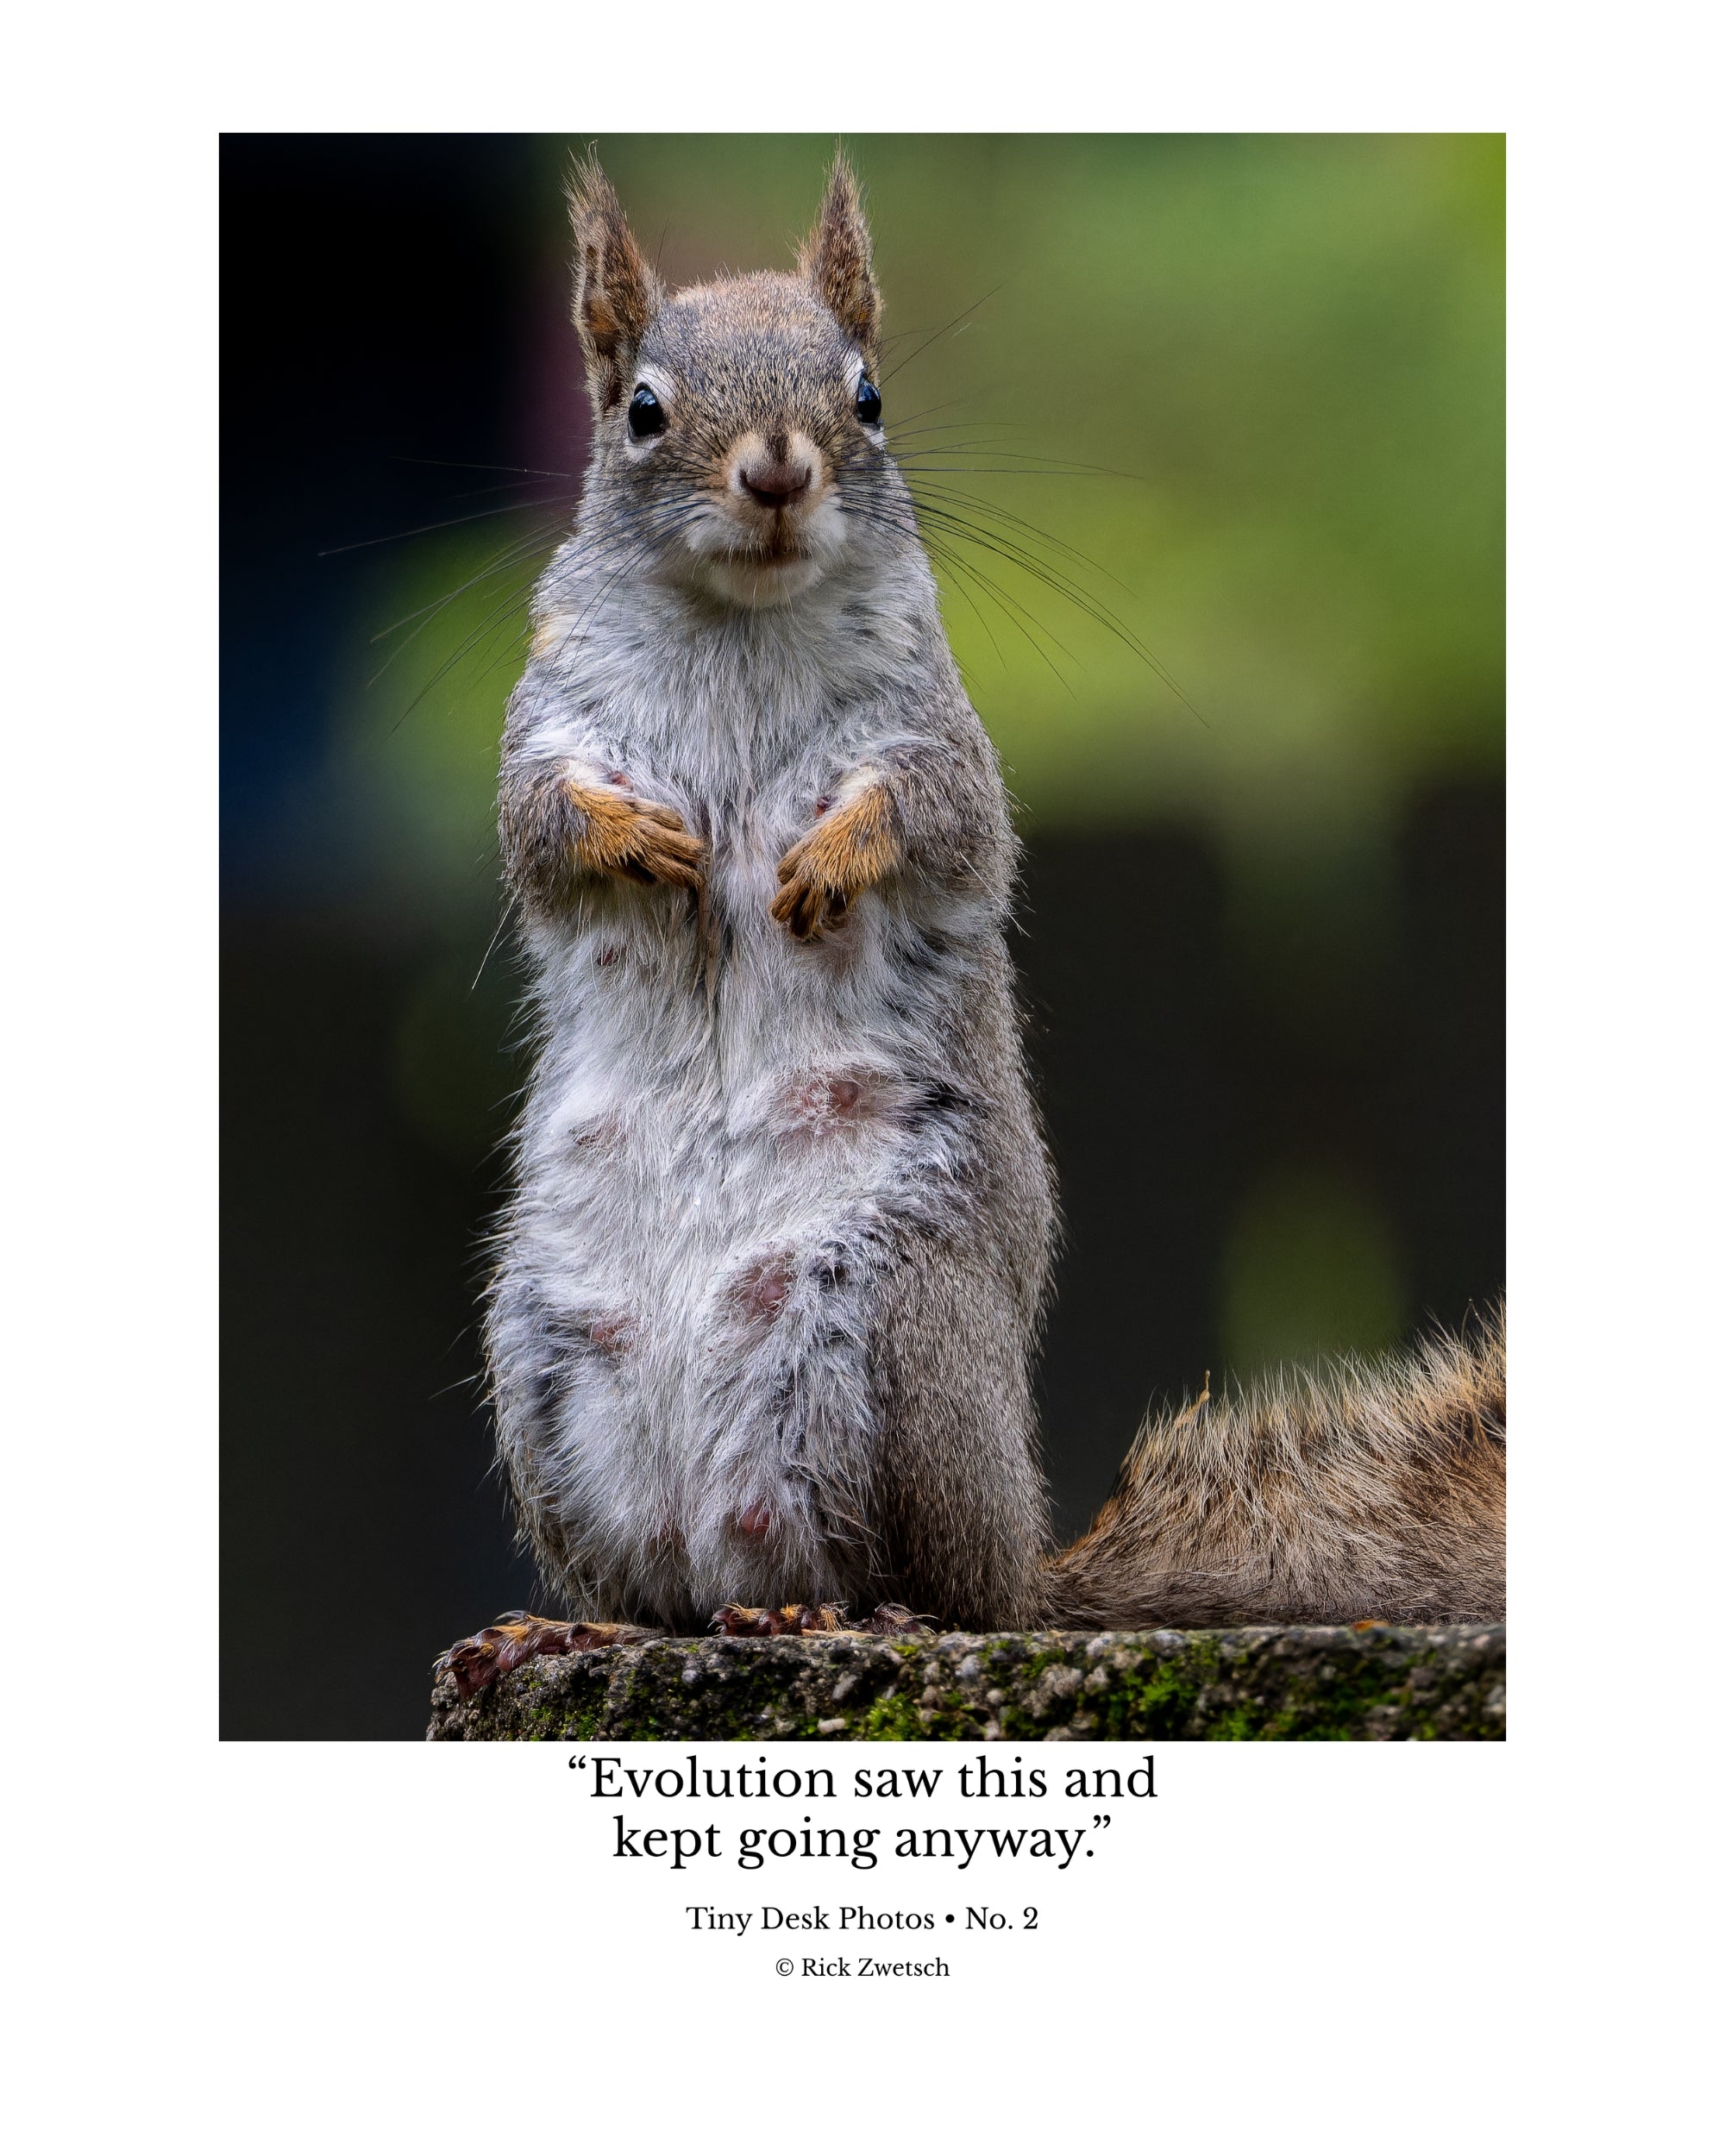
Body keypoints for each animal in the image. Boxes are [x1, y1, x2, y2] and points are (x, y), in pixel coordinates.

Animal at [446, 154, 1505, 1698]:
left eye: (869, 392)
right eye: (641, 408)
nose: (779, 469)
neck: (739, 623)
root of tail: (1028, 1568)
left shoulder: (942, 736)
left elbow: (940, 823)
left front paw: (827, 859)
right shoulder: (548, 725)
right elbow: (540, 830)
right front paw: (639, 841)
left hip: (890, 1334)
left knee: (927, 1587)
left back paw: (845, 1614)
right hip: (544, 1366)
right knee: (663, 1593)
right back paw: (582, 1621)